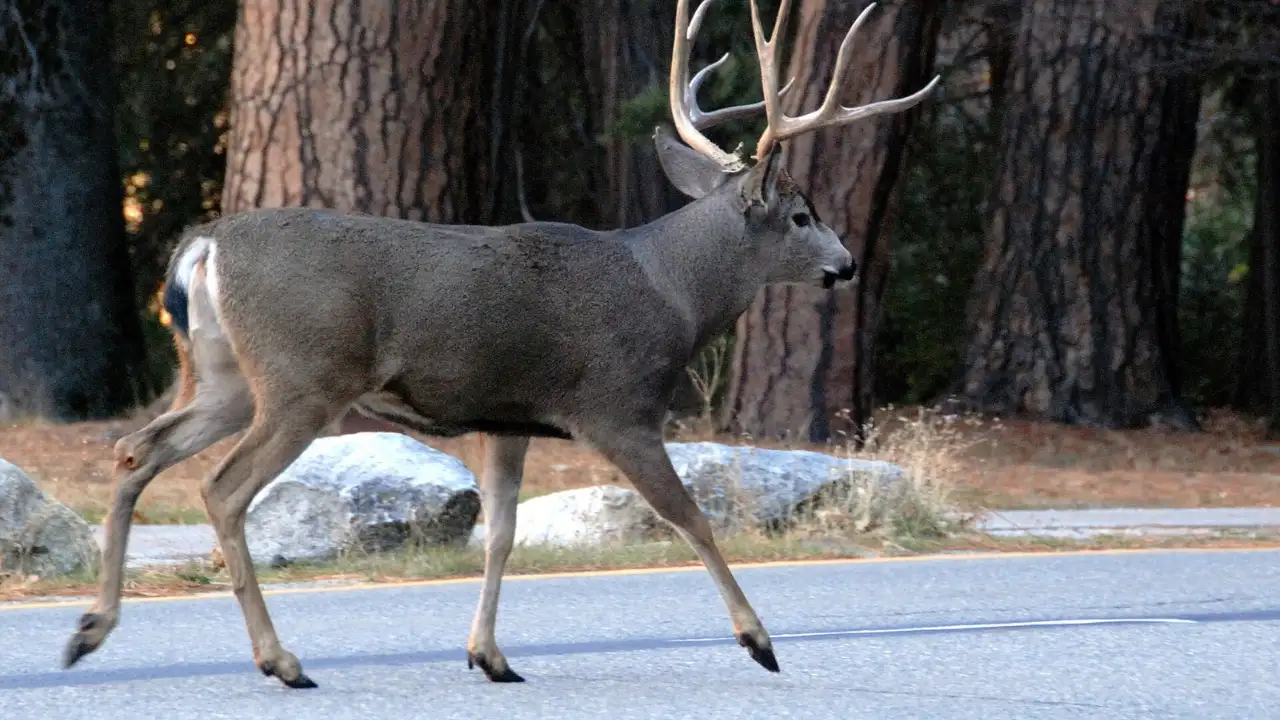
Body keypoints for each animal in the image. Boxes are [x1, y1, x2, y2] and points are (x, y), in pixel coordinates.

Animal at [61, 0, 938, 689]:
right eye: (801, 215)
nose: (846, 263)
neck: (673, 292)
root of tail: (204, 244)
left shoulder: (508, 417)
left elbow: (503, 532)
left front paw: (489, 655)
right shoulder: (618, 404)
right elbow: (688, 514)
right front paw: (758, 640)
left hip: (222, 375)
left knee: (138, 449)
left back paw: (91, 630)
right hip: (302, 377)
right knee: (222, 489)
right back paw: (281, 661)